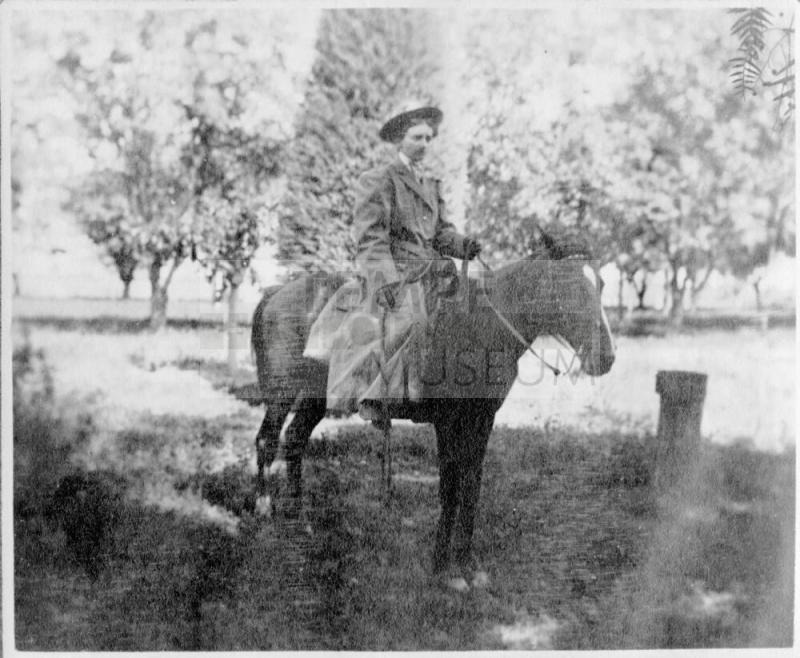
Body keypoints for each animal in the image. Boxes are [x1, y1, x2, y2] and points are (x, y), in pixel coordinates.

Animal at [250, 233, 615, 590]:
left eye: (600, 284)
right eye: (567, 285)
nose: (606, 359)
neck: (478, 327)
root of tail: (274, 294)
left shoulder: (483, 419)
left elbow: (471, 485)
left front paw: (467, 564)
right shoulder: (447, 421)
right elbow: (450, 487)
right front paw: (443, 567)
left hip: (317, 398)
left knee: (295, 439)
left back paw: (299, 520)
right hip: (282, 394)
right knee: (267, 440)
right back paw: (264, 506)